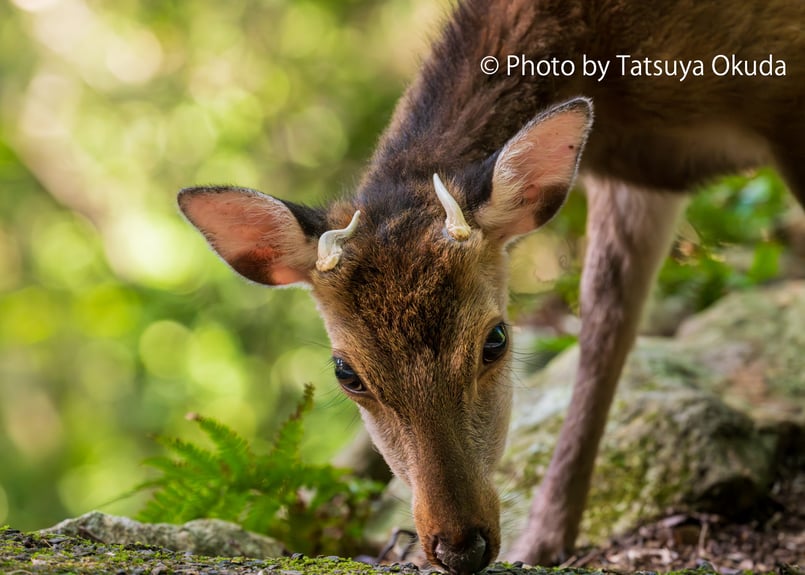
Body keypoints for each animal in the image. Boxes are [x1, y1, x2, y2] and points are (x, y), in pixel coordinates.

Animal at [177, 0, 805, 573]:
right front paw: (545, 541)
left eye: (496, 340)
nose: (460, 548)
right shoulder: (643, 175)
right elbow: (605, 326)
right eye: (346, 373)